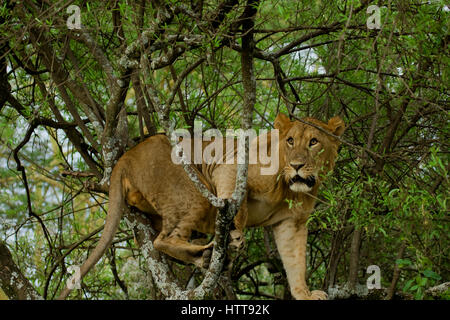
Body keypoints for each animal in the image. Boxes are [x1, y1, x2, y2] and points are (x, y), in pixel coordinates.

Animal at [57, 113, 344, 300]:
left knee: (162, 238)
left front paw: (304, 294)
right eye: (291, 140)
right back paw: (213, 250)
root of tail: (125, 157)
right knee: (162, 240)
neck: (289, 186)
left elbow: (296, 262)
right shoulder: (230, 163)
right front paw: (237, 232)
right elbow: (236, 202)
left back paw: (205, 256)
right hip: (193, 193)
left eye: (314, 142)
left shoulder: (291, 224)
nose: (297, 165)